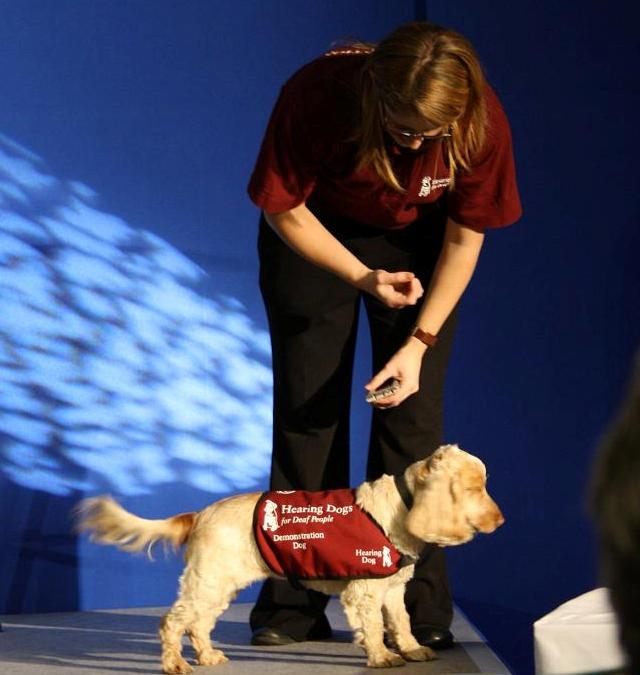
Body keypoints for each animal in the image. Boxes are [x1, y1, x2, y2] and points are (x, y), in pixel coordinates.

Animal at [76, 446, 504, 672]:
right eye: (475, 488)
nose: (501, 520)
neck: (403, 505)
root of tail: (199, 514)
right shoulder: (363, 593)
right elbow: (371, 627)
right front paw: (382, 657)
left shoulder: (393, 590)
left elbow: (401, 623)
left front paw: (413, 650)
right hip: (208, 581)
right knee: (172, 621)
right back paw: (174, 664)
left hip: (218, 585)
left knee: (197, 623)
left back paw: (208, 656)